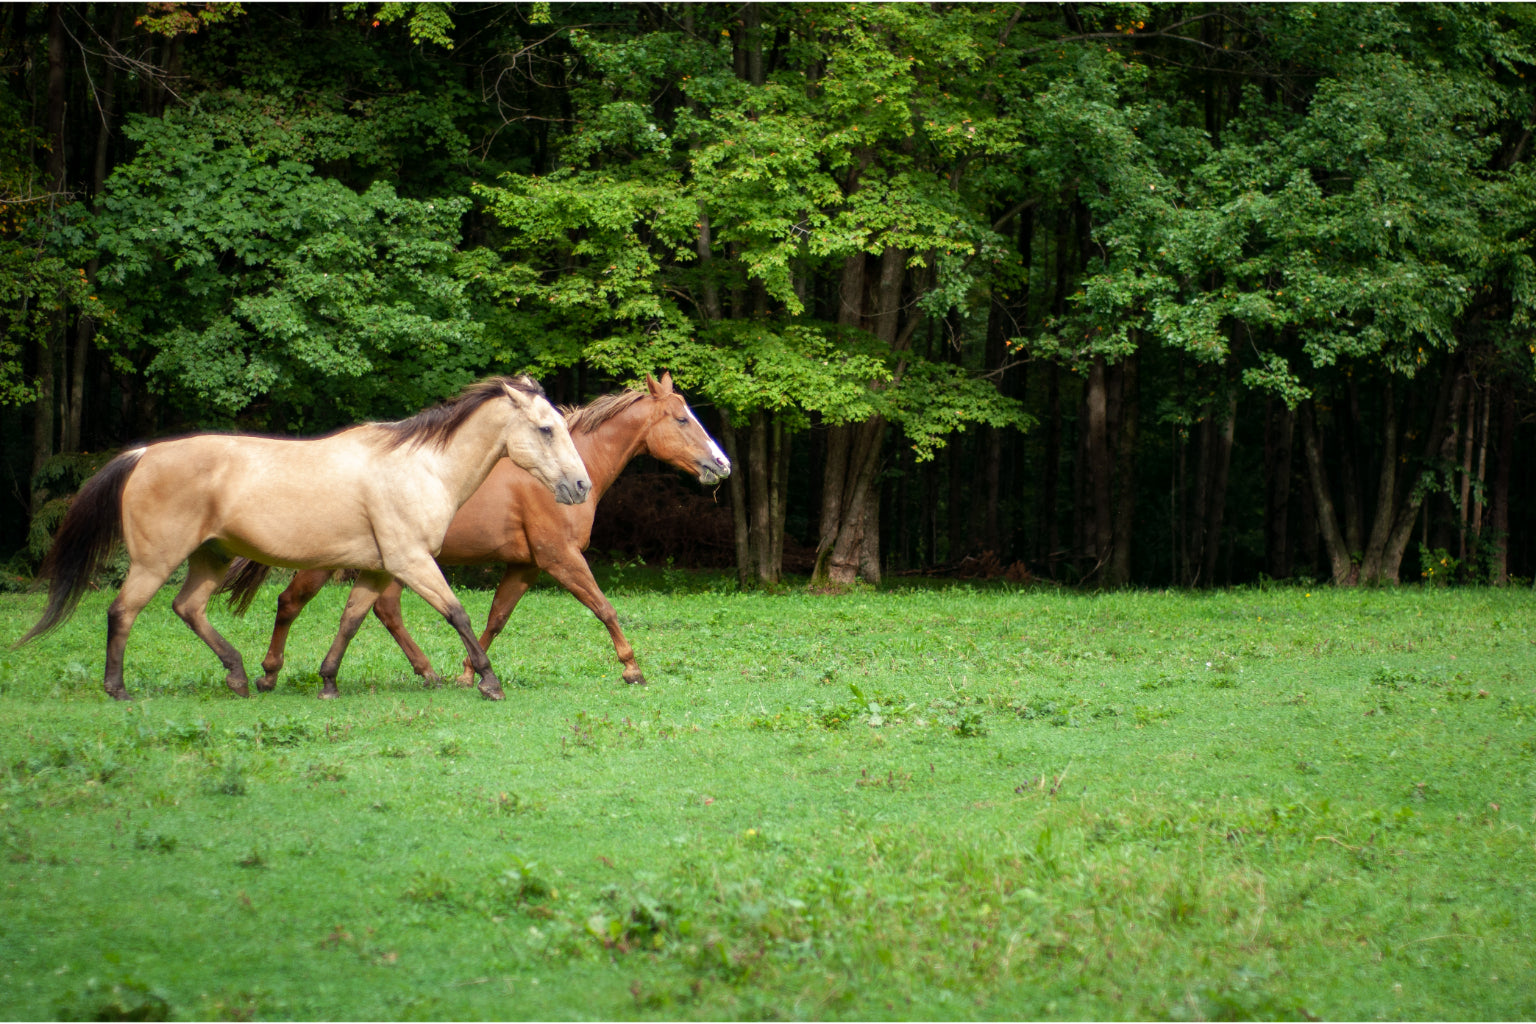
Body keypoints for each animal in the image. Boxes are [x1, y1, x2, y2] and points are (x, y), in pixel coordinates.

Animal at [16, 376, 586, 706]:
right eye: (546, 429)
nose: (580, 487)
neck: (420, 467)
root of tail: (142, 455)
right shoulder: (411, 562)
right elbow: (458, 614)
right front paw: (489, 682)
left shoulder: (378, 569)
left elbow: (351, 622)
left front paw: (328, 682)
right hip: (156, 562)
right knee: (123, 612)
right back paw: (118, 689)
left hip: (209, 559)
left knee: (188, 608)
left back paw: (241, 678)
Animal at [224, 369, 737, 687]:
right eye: (682, 418)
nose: (721, 464)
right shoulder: (560, 558)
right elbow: (605, 609)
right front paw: (632, 669)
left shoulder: (526, 568)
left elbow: (495, 620)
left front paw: (469, 673)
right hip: (331, 563)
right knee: (291, 602)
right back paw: (268, 673)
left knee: (384, 610)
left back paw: (427, 673)